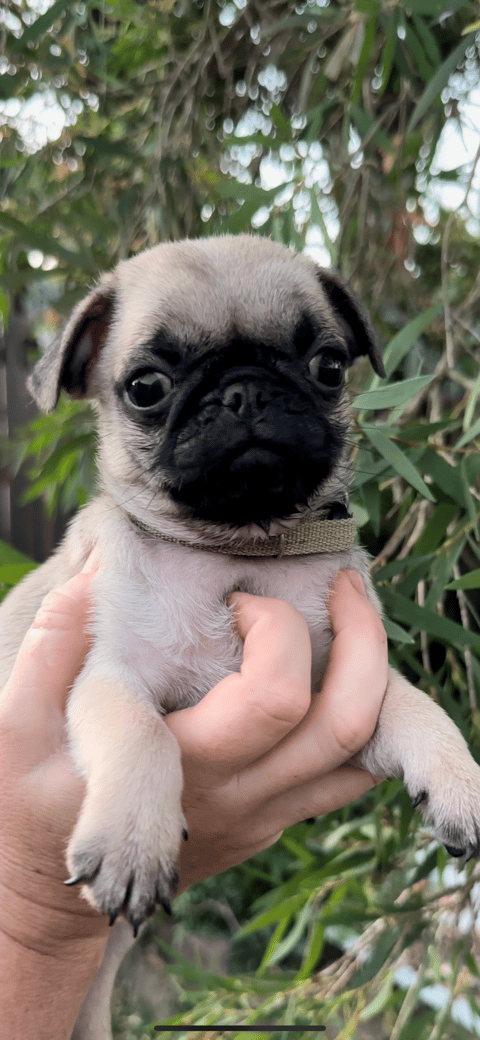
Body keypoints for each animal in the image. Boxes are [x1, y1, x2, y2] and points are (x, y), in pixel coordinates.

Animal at [0, 236, 480, 1040]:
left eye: (326, 365)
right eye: (146, 387)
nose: (246, 392)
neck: (238, 550)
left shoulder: (339, 677)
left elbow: (415, 704)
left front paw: (461, 781)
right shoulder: (109, 675)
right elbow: (142, 735)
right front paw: (132, 838)